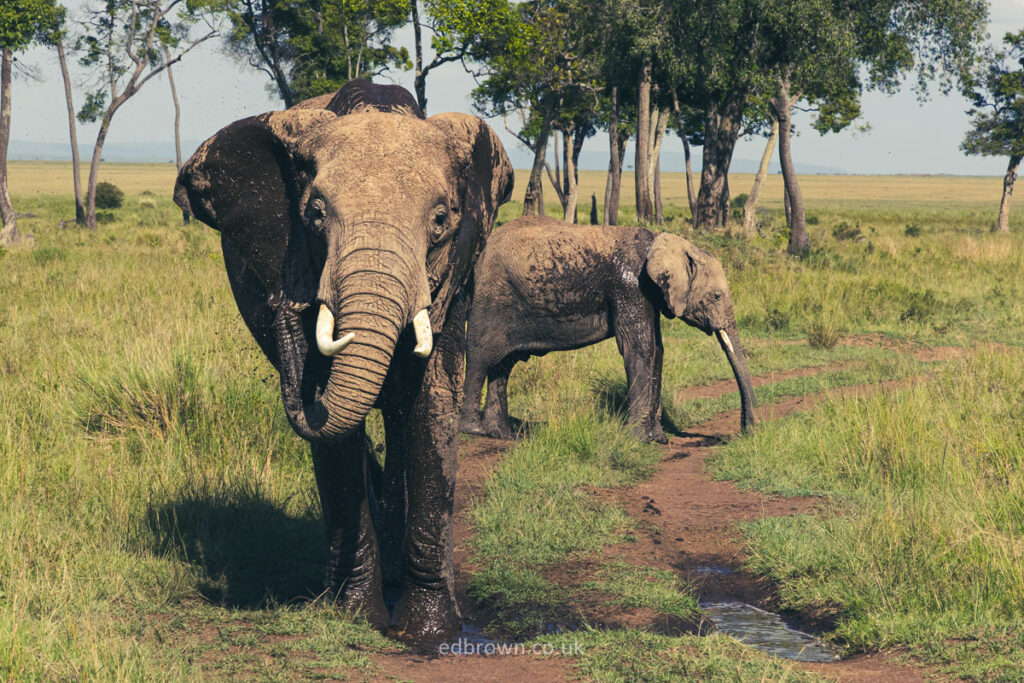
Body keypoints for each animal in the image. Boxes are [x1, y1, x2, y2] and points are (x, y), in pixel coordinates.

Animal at [173, 79, 513, 640]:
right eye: (313, 215)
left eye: (441, 220)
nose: (284, 309)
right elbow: (336, 436)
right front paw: (356, 616)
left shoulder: (453, 278)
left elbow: (431, 407)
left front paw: (431, 634)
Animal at [459, 216, 755, 443]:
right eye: (716, 296)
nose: (745, 432)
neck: (665, 242)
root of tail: (482, 253)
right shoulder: (630, 286)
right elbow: (639, 348)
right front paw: (638, 440)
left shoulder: (649, 294)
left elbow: (657, 350)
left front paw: (658, 438)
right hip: (492, 297)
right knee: (480, 357)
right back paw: (474, 430)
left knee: (503, 365)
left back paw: (504, 435)